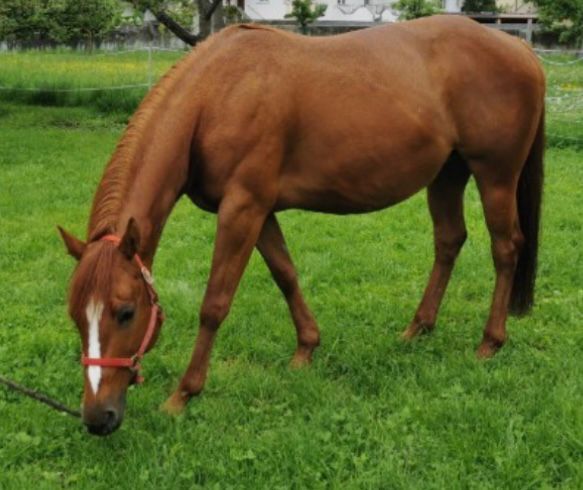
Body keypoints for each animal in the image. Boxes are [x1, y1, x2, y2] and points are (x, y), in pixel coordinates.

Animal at [57, 16, 544, 436]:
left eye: (126, 312)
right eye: (76, 316)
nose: (97, 417)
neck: (216, 95)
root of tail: (519, 48)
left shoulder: (242, 208)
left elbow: (215, 303)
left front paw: (183, 394)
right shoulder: (260, 212)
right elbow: (286, 274)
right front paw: (307, 348)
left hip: (495, 176)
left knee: (505, 249)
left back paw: (489, 343)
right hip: (446, 175)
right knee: (448, 241)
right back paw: (417, 329)